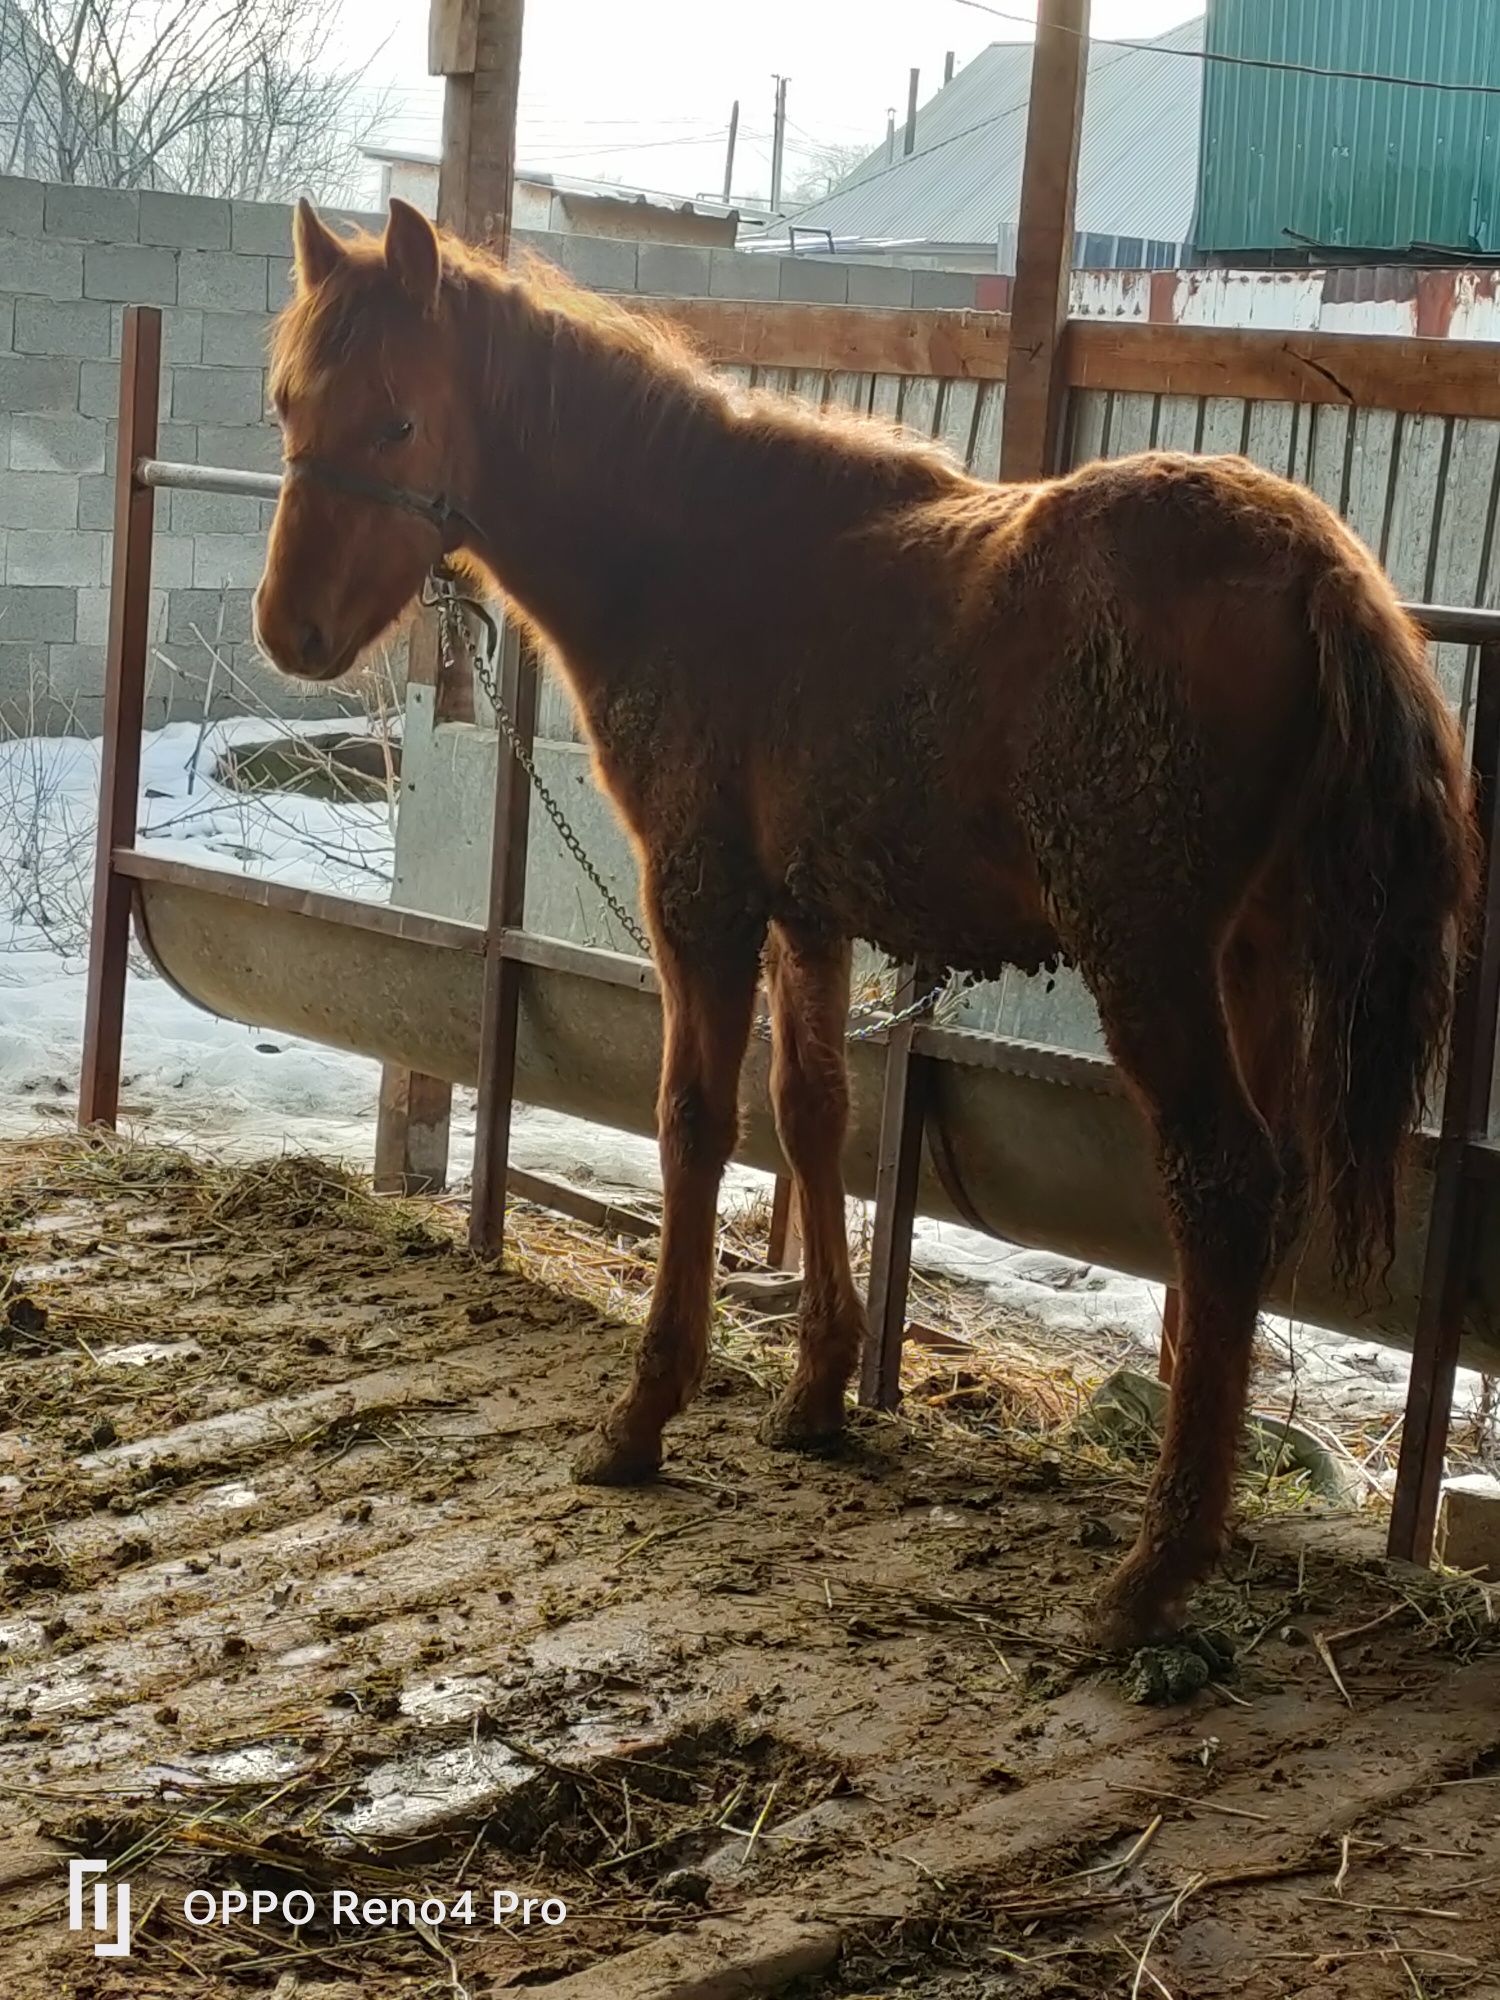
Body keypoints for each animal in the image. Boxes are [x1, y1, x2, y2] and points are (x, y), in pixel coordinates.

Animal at [258, 195, 1480, 1648]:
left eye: (397, 422)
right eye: (288, 405)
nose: (290, 631)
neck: (694, 556)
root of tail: (1315, 566)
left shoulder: (702, 899)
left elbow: (696, 1122)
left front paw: (645, 1412)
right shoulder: (812, 916)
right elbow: (812, 1112)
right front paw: (815, 1393)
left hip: (1149, 953)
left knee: (1220, 1184)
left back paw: (1151, 1569)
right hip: (1254, 961)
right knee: (1257, 1192)